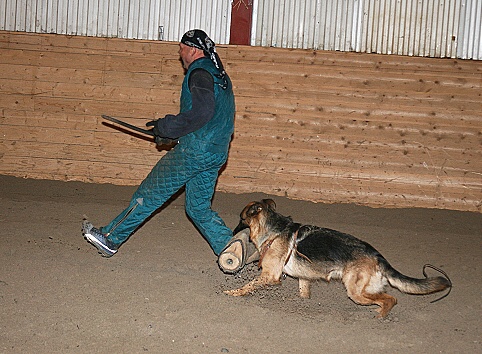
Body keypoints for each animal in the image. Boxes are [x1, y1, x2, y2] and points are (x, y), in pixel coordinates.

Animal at [226, 199, 452, 318]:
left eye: (240, 218)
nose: (232, 233)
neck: (275, 229)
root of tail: (377, 256)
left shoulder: (270, 275)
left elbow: (247, 286)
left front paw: (232, 293)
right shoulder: (304, 277)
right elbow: (303, 294)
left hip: (355, 291)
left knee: (391, 299)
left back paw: (379, 318)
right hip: (363, 290)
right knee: (384, 298)